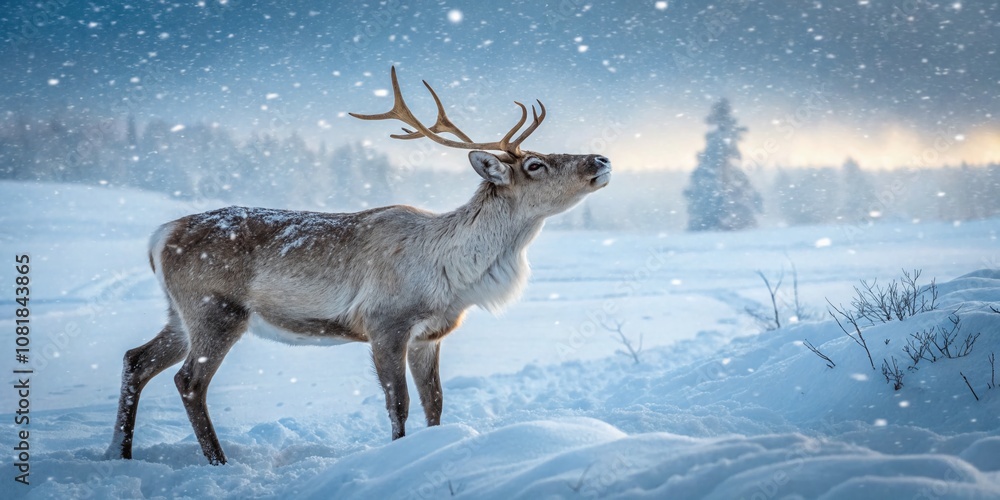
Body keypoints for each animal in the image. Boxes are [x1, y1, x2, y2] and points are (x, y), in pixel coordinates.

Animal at [107, 67, 611, 465]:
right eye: (535, 164)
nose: (601, 158)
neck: (457, 275)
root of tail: (158, 237)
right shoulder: (385, 322)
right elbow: (399, 403)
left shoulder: (430, 334)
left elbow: (435, 404)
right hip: (216, 309)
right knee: (188, 380)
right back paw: (218, 462)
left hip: (180, 313)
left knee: (136, 359)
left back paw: (119, 453)